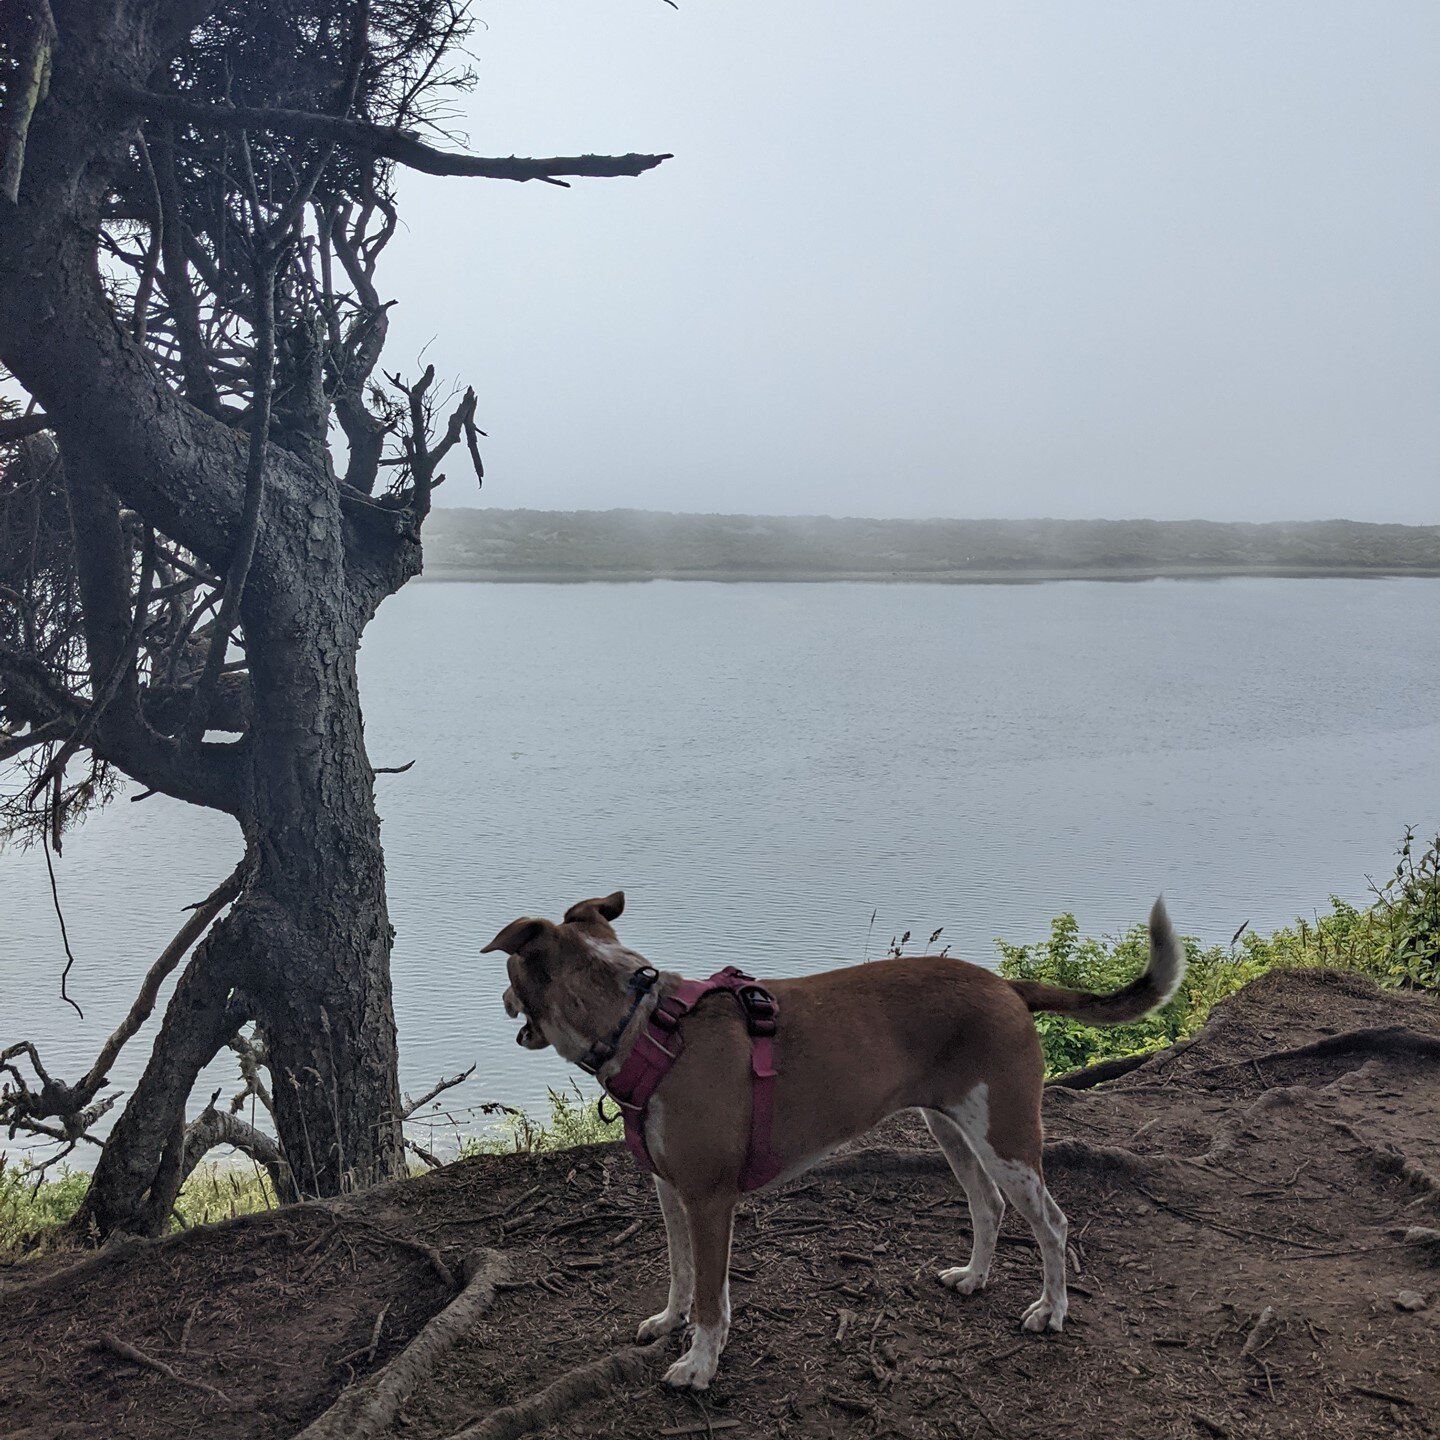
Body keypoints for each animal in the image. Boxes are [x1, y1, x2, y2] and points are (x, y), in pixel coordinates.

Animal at [483, 892, 1180, 1388]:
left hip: (1005, 1135)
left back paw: (1052, 1311)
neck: (646, 1027)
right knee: (988, 1205)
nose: (502, 998)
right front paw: (669, 1323)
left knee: (1052, 1224)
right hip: (952, 1129)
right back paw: (974, 1278)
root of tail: (1006, 985)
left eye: (512, 971)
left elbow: (710, 1295)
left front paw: (700, 1364)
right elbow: (683, 1275)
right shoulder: (670, 1191)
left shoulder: (709, 1200)